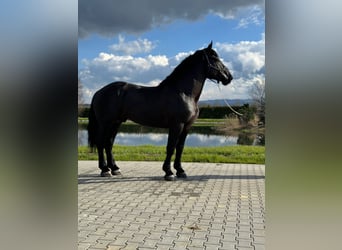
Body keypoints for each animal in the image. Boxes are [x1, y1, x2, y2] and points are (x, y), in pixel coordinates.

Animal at [87, 42, 234, 180]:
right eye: (215, 58)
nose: (229, 77)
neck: (183, 93)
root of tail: (99, 92)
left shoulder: (187, 126)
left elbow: (180, 147)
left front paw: (180, 171)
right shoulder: (177, 125)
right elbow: (171, 147)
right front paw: (168, 172)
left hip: (116, 123)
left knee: (108, 143)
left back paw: (115, 169)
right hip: (105, 123)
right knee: (100, 142)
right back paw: (105, 170)